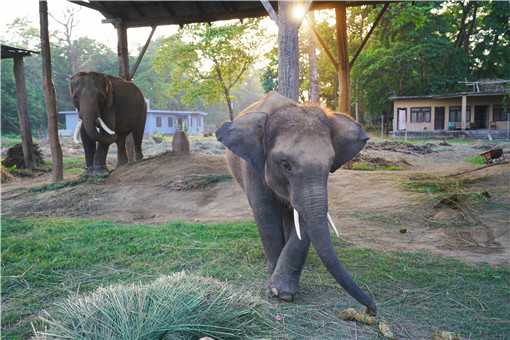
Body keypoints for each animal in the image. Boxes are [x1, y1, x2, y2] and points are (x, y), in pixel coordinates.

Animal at [214, 91, 374, 314]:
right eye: (285, 164)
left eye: (330, 165)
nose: (370, 310)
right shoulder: (253, 167)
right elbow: (265, 213)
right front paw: (275, 289)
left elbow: (302, 220)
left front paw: (283, 292)